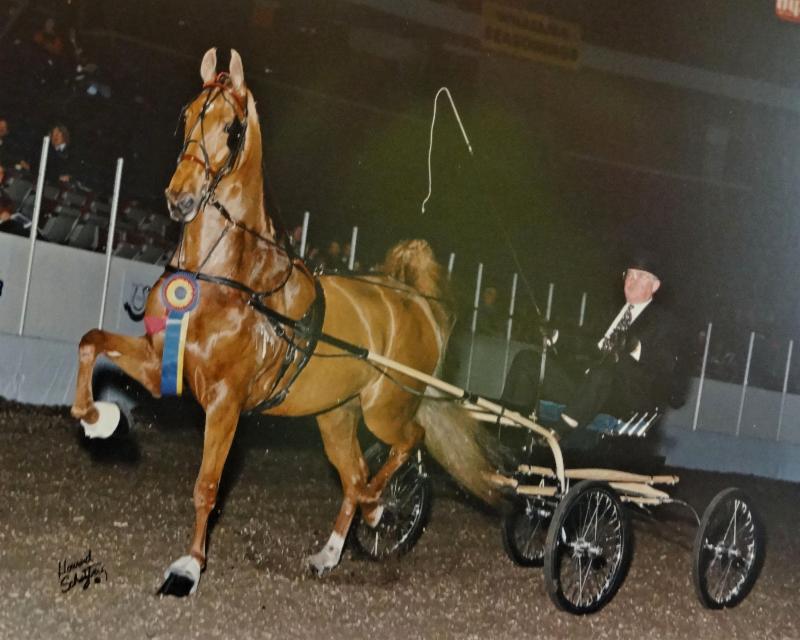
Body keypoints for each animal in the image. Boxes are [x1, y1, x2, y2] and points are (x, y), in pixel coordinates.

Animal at [69, 48, 496, 596]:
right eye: (187, 116)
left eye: (231, 128)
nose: (179, 199)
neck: (228, 281)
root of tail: (416, 301)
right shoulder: (161, 363)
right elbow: (91, 340)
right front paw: (98, 418)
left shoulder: (226, 401)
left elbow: (207, 484)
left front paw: (188, 567)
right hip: (336, 416)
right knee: (353, 475)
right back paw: (330, 552)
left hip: (385, 408)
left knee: (406, 446)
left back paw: (380, 506)